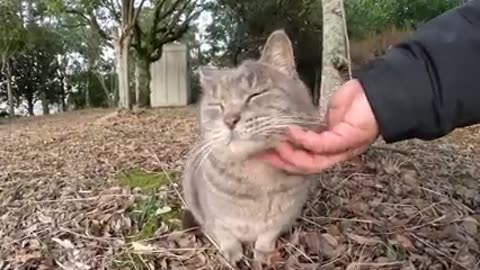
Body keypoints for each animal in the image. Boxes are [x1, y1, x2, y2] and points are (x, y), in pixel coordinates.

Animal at [182, 29, 320, 264]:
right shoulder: (211, 217)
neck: (257, 174)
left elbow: (267, 235)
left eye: (256, 95)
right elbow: (224, 233)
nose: (230, 120)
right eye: (217, 105)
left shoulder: (283, 217)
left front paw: (264, 253)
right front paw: (232, 252)